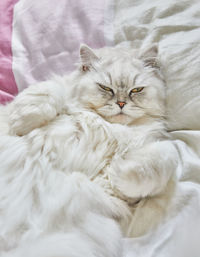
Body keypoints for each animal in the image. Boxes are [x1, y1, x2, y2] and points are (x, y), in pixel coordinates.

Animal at [0, 44, 178, 254]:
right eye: (105, 88)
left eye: (136, 90)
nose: (121, 104)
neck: (107, 126)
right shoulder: (48, 92)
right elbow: (48, 90)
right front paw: (22, 123)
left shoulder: (154, 149)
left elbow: (166, 155)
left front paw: (119, 171)